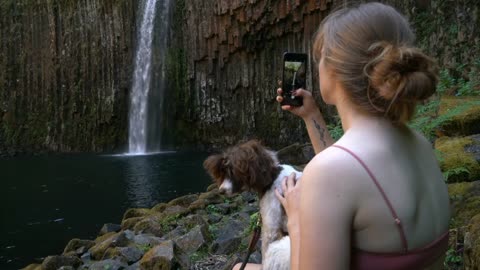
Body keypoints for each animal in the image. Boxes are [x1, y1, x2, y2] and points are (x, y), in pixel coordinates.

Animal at [203, 140, 302, 268]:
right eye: (223, 173)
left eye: (233, 172)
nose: (221, 191)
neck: (272, 177)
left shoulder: (271, 229)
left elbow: (265, 253)